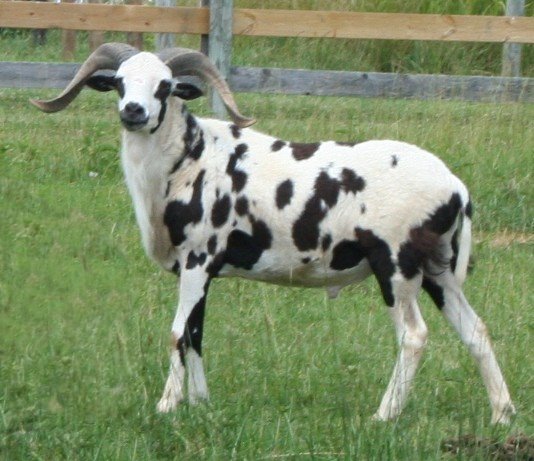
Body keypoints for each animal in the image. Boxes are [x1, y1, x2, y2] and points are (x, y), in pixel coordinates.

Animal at [31, 43, 516, 424]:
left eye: (165, 86)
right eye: (119, 83)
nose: (134, 112)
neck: (186, 161)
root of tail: (455, 187)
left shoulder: (198, 258)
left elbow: (176, 333)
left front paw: (168, 406)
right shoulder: (203, 270)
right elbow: (196, 333)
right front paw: (201, 404)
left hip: (396, 263)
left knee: (413, 337)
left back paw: (384, 415)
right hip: (439, 269)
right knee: (476, 331)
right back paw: (502, 414)